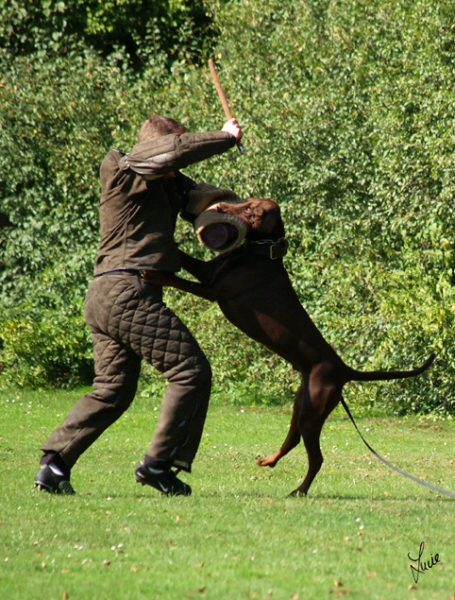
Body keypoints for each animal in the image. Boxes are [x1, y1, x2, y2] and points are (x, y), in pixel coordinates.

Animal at [142, 199, 434, 494]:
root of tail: (344, 370)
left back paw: (300, 490)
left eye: (250, 210)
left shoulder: (213, 290)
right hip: (301, 405)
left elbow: (180, 279)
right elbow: (185, 258)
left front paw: (154, 274)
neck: (261, 254)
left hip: (312, 412)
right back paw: (269, 461)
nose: (220, 205)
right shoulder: (209, 271)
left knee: (316, 457)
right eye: (245, 201)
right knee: (292, 440)